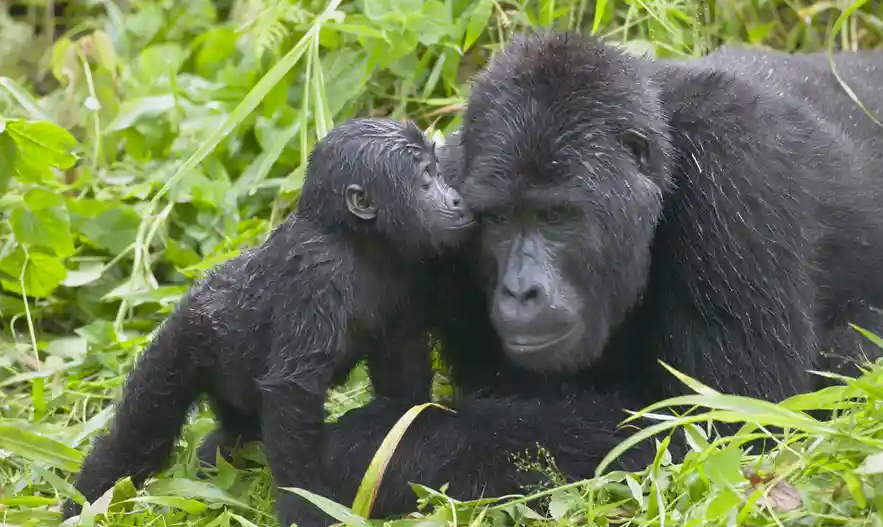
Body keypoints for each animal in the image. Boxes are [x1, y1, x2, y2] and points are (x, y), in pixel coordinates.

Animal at [62, 118, 474, 527]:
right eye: (427, 178)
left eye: (439, 172)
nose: (457, 199)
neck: (356, 240)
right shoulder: (317, 275)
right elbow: (292, 393)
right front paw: (302, 507)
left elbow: (401, 370)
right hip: (182, 340)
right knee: (139, 435)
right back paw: (84, 502)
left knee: (235, 431)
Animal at [314, 33, 880, 524]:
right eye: (497, 220)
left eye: (555, 217)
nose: (521, 290)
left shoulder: (738, 165)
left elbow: (723, 424)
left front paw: (374, 447)